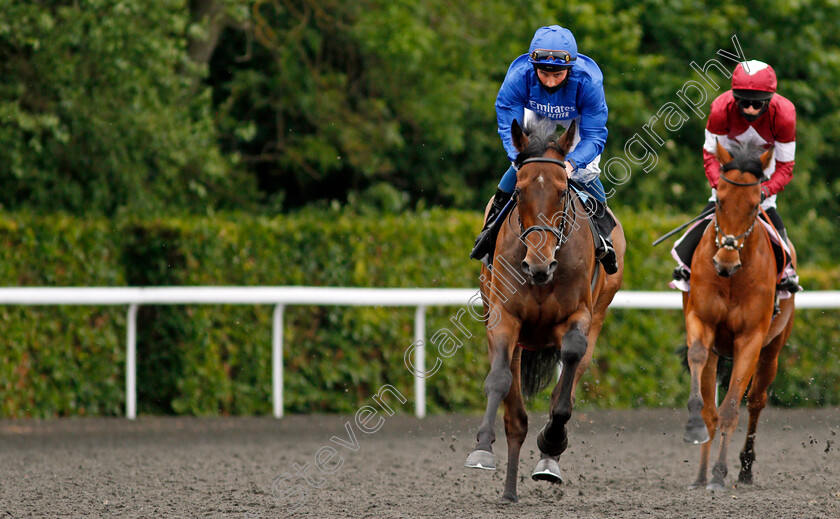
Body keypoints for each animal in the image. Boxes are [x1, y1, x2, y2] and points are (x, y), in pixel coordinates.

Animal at [466, 119, 624, 504]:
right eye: (520, 192)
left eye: (562, 190)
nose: (539, 264)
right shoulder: (504, 319)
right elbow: (499, 380)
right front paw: (481, 449)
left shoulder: (577, 317)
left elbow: (566, 381)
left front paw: (552, 442)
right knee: (516, 417)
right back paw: (509, 492)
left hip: (598, 314)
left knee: (571, 374)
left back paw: (547, 463)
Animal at [680, 141, 796, 492]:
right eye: (719, 198)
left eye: (756, 203)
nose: (724, 262)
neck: (732, 280)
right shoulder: (701, 322)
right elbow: (699, 362)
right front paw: (694, 429)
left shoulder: (751, 340)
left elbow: (732, 408)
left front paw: (720, 473)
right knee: (712, 406)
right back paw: (700, 475)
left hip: (773, 348)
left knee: (756, 400)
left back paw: (744, 469)